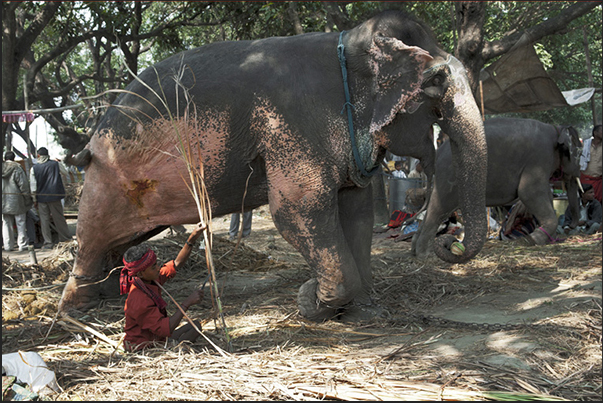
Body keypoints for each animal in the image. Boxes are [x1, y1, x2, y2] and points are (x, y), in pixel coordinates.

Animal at [59, 10, 488, 322]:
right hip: (105, 179)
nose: (450, 243)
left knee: (122, 240)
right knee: (94, 231)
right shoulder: (293, 125)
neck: (351, 46)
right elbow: (297, 209)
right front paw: (312, 302)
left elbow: (357, 211)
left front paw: (365, 312)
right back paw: (79, 306)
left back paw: (111, 289)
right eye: (435, 82)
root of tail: (94, 133)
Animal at [412, 117, 584, 258]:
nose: (569, 226)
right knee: (438, 209)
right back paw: (425, 255)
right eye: (580, 154)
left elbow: (544, 194)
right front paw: (529, 240)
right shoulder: (538, 159)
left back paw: (414, 250)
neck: (556, 129)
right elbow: (528, 192)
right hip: (450, 175)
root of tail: (438, 153)